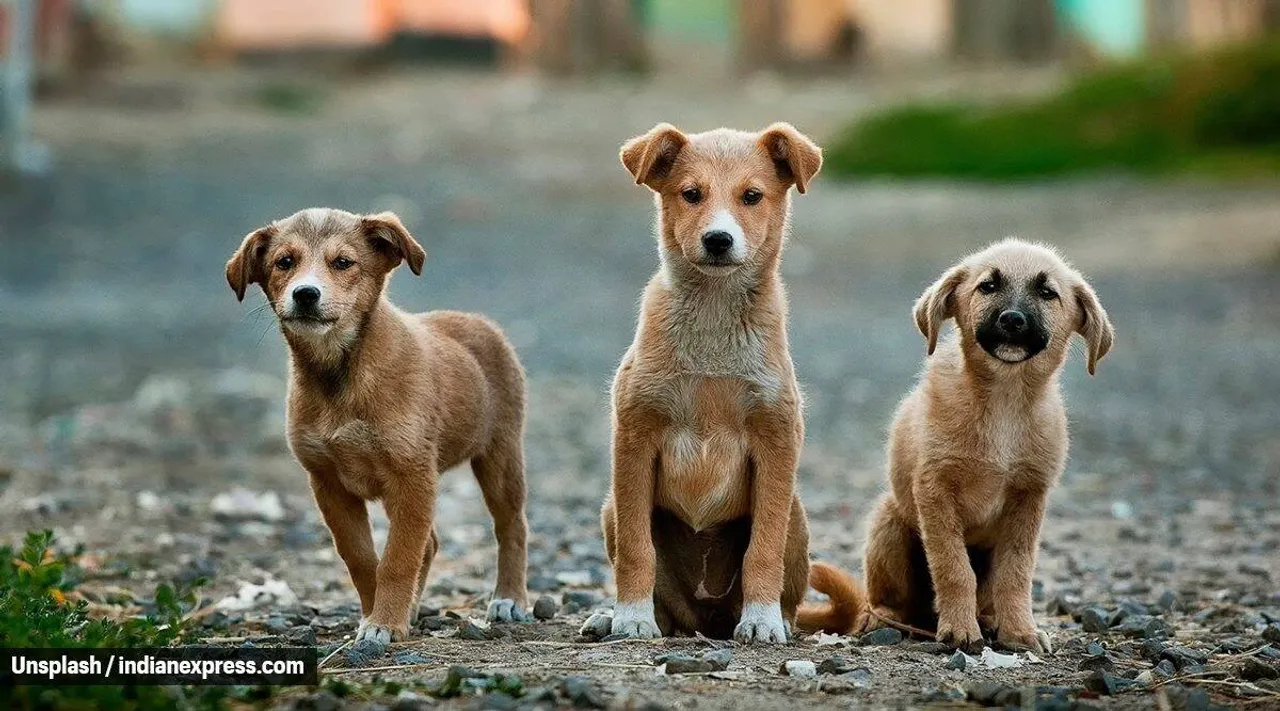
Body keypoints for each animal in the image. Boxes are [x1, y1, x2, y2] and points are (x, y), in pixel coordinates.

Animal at [225, 207, 529, 645]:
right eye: (284, 262)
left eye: (343, 262)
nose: (305, 294)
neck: (340, 374)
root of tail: (478, 321)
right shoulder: (328, 483)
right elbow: (362, 558)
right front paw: (377, 616)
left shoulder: (412, 476)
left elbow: (398, 558)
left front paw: (385, 622)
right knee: (430, 543)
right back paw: (414, 608)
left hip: (500, 455)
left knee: (511, 527)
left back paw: (509, 598)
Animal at [586, 122, 824, 645]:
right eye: (691, 194)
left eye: (752, 196)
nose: (718, 240)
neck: (713, 321)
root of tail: (705, 619)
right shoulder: (634, 438)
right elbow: (636, 548)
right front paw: (630, 617)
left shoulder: (777, 440)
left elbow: (763, 549)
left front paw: (761, 619)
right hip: (610, 507)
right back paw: (613, 617)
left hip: (797, 515)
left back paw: (776, 619)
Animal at [798, 238, 1111, 650]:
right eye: (987, 286)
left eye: (1047, 293)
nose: (1013, 319)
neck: (1004, 401)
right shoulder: (935, 490)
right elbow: (953, 568)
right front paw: (960, 630)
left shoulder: (1029, 497)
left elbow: (1016, 573)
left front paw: (1019, 631)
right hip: (889, 523)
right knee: (885, 599)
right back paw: (884, 619)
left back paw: (990, 620)